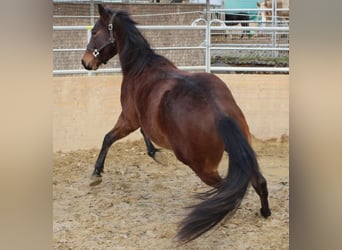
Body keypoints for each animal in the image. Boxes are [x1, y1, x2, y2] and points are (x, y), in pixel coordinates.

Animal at [81, 4, 272, 244]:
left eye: (95, 32)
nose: (85, 61)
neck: (140, 68)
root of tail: (219, 111)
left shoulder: (128, 118)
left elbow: (108, 137)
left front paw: (96, 174)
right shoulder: (140, 119)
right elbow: (143, 133)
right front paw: (155, 153)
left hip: (200, 166)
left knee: (225, 190)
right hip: (244, 151)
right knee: (259, 182)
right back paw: (265, 212)